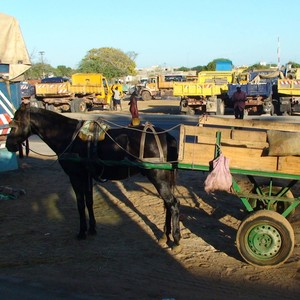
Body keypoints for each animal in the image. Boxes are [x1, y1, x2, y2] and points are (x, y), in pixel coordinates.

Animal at [5, 104, 180, 247]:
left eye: (15, 123)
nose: (8, 145)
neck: (68, 136)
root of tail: (166, 136)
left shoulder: (75, 176)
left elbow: (80, 203)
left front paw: (82, 232)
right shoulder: (87, 175)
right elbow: (89, 201)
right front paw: (92, 228)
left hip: (157, 176)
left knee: (173, 204)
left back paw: (176, 238)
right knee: (167, 204)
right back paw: (165, 235)